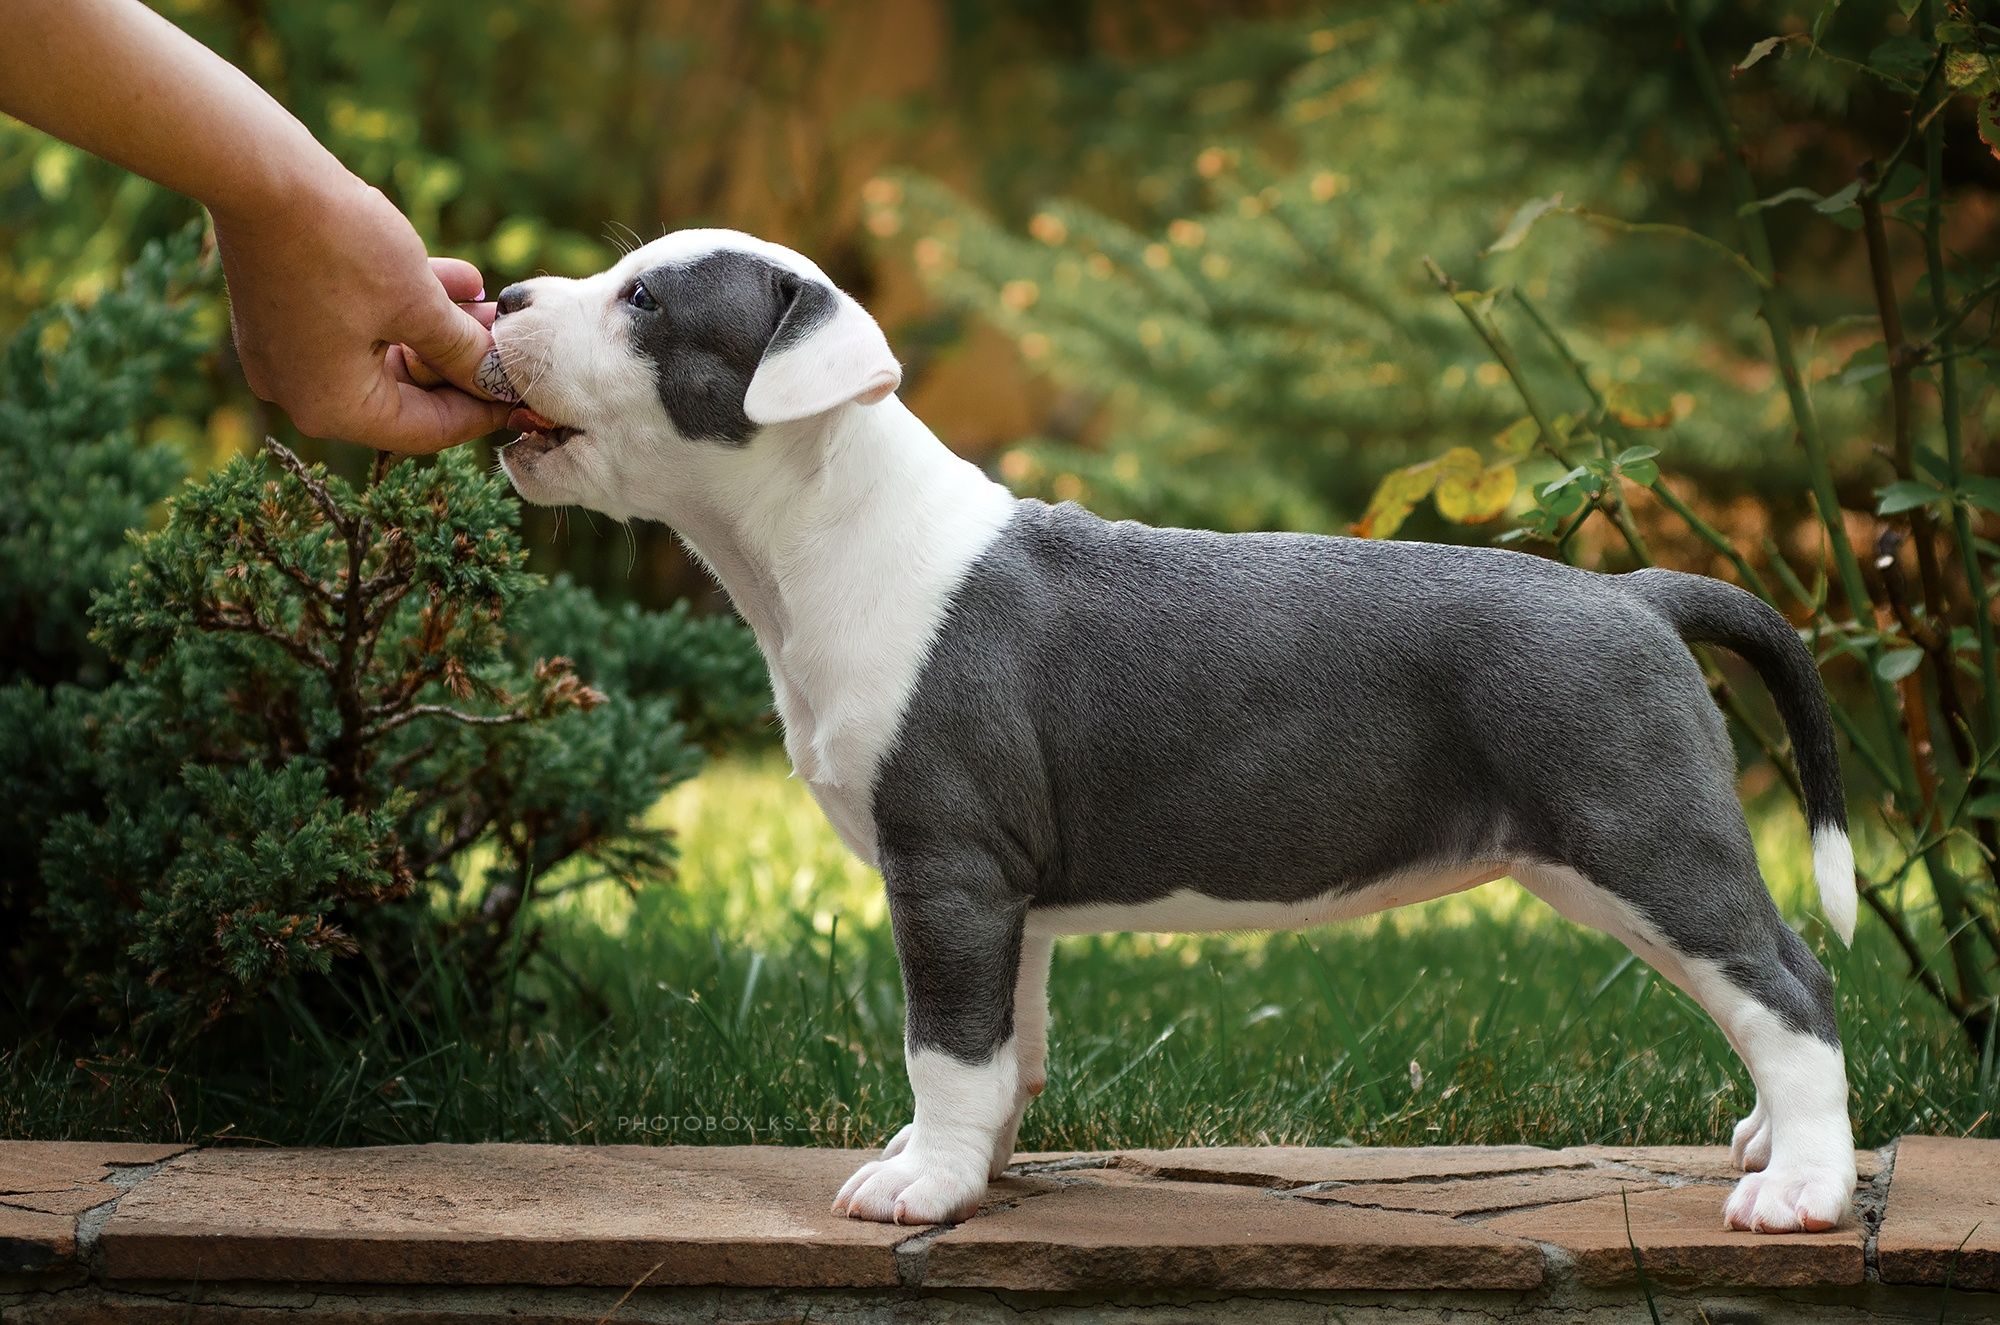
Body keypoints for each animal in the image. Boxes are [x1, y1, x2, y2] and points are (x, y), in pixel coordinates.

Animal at [484, 233, 1856, 1240]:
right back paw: (1767, 1140)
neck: (825, 531)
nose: (498, 294)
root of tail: (1635, 593)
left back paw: (1800, 1185)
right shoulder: (1007, 893)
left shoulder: (946, 868)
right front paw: (966, 1163)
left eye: (643, 299)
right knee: (1760, 981)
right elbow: (1006, 1044)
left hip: (1640, 831)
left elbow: (946, 1043)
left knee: (1789, 983)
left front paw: (922, 1183)